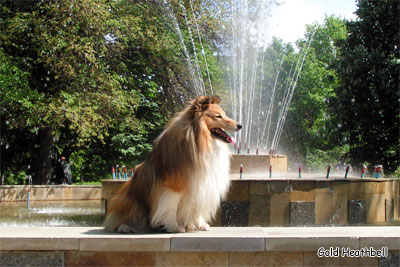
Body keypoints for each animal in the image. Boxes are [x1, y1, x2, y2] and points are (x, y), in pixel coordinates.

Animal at [103, 96, 241, 232]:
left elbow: (197, 206)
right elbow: (170, 208)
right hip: (131, 202)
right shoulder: (173, 187)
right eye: (218, 116)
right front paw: (174, 227)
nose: (240, 125)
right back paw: (125, 227)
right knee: (118, 220)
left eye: (224, 114)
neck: (201, 142)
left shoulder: (201, 183)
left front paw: (200, 224)